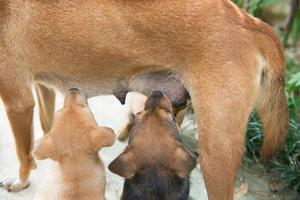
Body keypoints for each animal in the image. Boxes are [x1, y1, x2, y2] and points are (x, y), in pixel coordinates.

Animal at [0, 0, 288, 199]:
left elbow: (23, 151)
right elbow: (46, 128)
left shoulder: (18, 100)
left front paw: (21, 180)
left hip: (216, 155)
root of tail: (249, 20)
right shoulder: (42, 87)